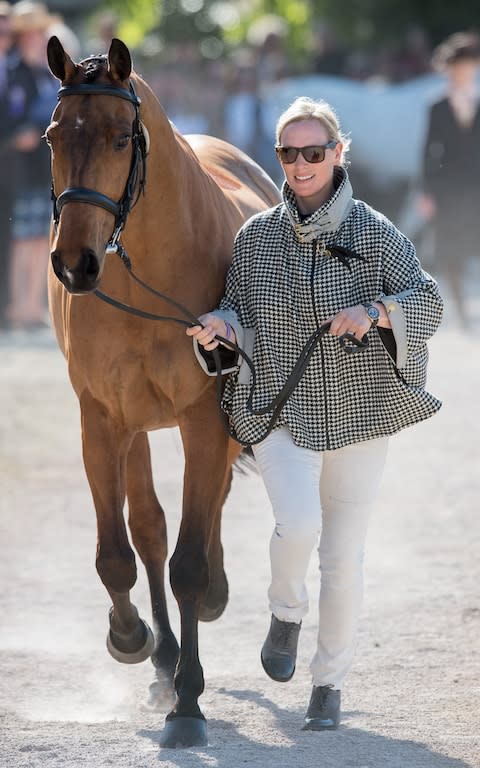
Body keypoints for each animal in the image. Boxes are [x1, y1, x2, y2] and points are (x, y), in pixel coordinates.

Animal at [47, 34, 280, 744]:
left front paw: (188, 704)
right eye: (52, 136)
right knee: (148, 526)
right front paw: (132, 640)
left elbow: (190, 563)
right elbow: (119, 553)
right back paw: (161, 659)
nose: (73, 263)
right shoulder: (103, 420)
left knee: (203, 519)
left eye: (123, 137)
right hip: (140, 427)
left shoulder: (205, 419)